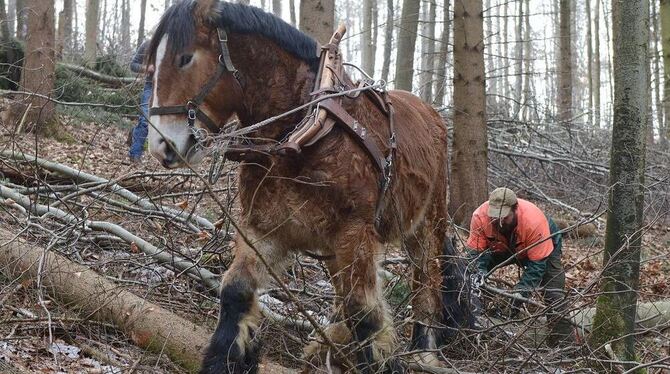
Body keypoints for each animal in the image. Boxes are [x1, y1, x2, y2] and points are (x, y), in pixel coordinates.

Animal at [148, 0, 472, 374]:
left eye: (185, 58)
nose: (161, 145)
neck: (302, 131)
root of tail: (432, 115)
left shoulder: (355, 233)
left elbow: (365, 313)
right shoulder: (264, 228)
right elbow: (236, 290)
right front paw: (224, 359)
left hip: (427, 224)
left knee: (426, 281)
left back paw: (422, 350)